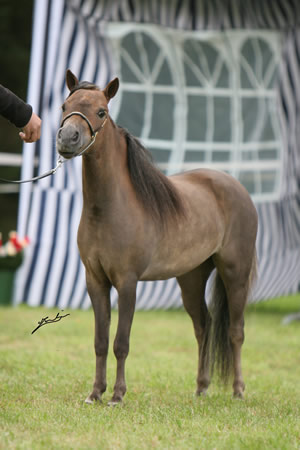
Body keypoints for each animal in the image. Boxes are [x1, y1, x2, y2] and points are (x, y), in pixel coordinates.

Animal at [56, 69, 258, 404]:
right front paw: (95, 393)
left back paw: (238, 391)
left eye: (101, 111)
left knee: (236, 331)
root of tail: (235, 187)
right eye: (64, 106)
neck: (109, 208)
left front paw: (117, 396)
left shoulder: (127, 283)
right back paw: (201, 387)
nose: (68, 138)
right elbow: (100, 341)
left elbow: (121, 342)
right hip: (191, 278)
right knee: (203, 326)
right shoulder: (95, 281)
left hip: (235, 273)